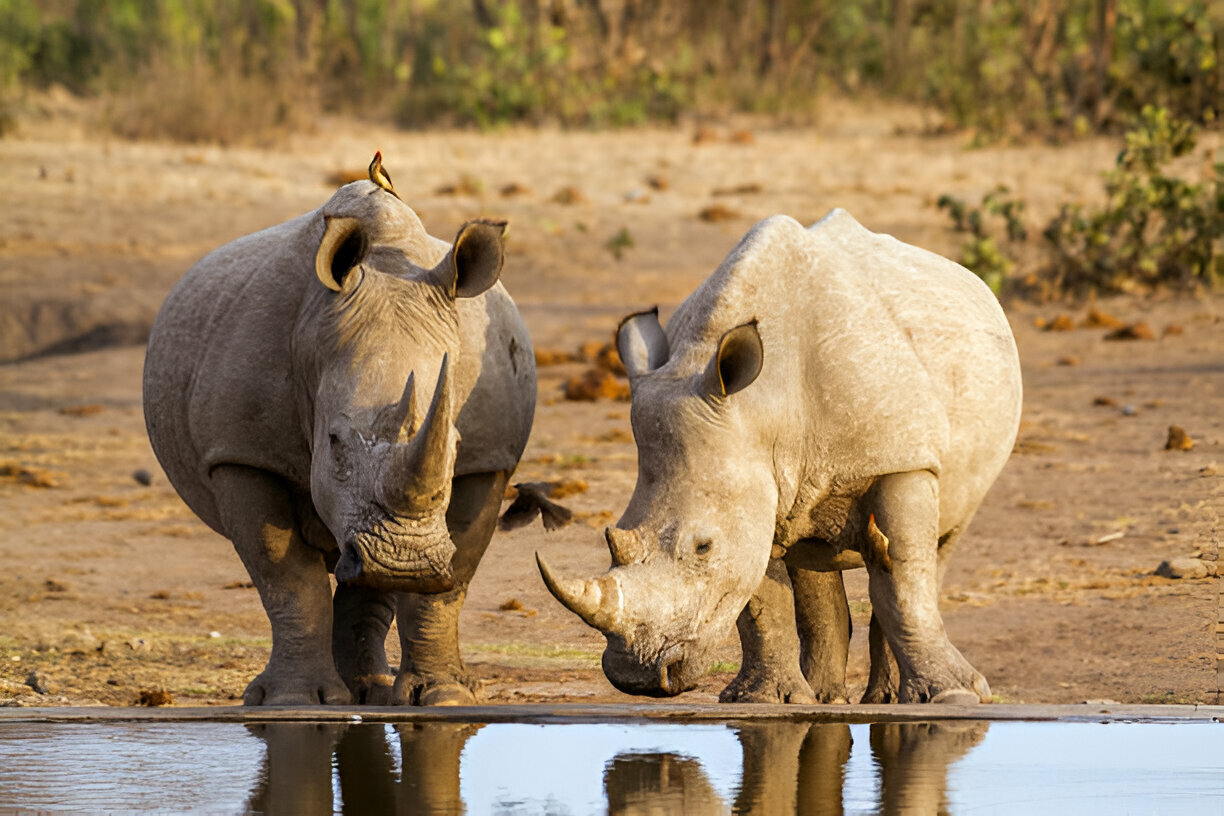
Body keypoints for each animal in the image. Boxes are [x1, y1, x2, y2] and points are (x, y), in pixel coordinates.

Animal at [143, 154, 536, 705]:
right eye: (332, 442)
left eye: (456, 445)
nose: (406, 563)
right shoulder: (242, 452)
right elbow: (285, 574)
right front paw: (293, 702)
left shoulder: (489, 459)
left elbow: (449, 584)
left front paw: (444, 698)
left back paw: (370, 690)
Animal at [537, 209, 1022, 704]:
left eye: (703, 547)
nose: (637, 677)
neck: (762, 405)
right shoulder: (751, 474)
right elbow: (761, 600)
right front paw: (761, 699)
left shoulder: (901, 457)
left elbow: (903, 583)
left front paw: (952, 697)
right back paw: (824, 698)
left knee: (936, 548)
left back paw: (889, 699)